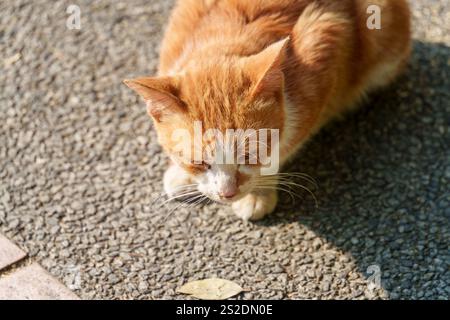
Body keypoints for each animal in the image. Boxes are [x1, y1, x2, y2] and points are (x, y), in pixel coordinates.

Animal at [124, 0, 412, 220]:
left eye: (250, 155)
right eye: (199, 163)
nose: (227, 193)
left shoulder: (327, 37)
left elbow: (284, 148)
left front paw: (258, 192)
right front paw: (181, 175)